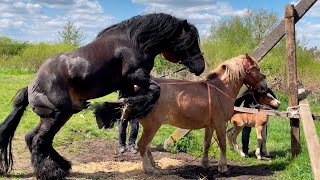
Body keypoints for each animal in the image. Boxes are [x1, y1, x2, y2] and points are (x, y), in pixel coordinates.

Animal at [0, 13, 205, 179]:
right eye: (190, 42)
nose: (200, 66)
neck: (134, 42)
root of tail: (32, 86)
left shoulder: (128, 84)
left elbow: (132, 104)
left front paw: (121, 114)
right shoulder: (136, 75)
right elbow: (154, 90)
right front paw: (111, 112)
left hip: (58, 116)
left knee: (33, 138)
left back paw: (62, 166)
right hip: (56, 115)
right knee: (38, 140)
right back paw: (51, 172)